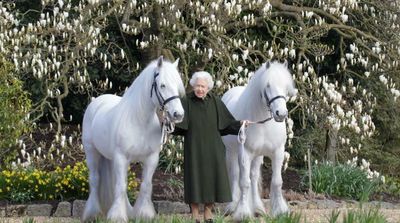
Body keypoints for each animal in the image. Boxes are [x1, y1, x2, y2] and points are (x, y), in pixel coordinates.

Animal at [83, 56, 186, 222]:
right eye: (162, 85)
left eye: (177, 86)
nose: (178, 114)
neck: (139, 121)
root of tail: (98, 101)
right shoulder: (121, 158)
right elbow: (121, 186)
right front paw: (117, 216)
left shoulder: (151, 159)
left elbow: (145, 185)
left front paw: (144, 213)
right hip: (91, 152)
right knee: (94, 180)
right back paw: (92, 213)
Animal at [222, 60, 296, 220]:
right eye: (268, 85)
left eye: (286, 86)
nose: (281, 114)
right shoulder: (245, 153)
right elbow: (244, 183)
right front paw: (242, 213)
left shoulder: (278, 152)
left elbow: (276, 182)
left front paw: (280, 211)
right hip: (232, 152)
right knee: (235, 175)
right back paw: (232, 206)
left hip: (257, 156)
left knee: (254, 176)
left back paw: (257, 208)